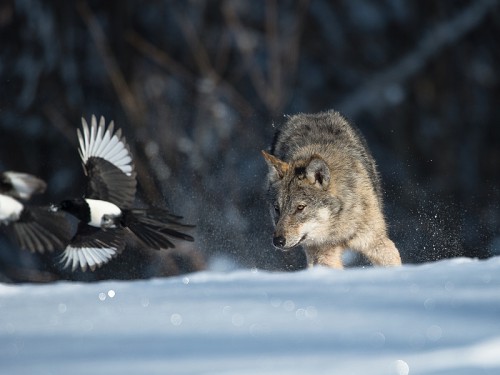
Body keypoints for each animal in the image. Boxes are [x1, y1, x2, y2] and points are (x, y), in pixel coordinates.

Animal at [262, 110, 402, 268]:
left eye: (300, 207)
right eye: (277, 208)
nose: (278, 241)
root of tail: (313, 114)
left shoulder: (377, 243)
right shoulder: (324, 255)